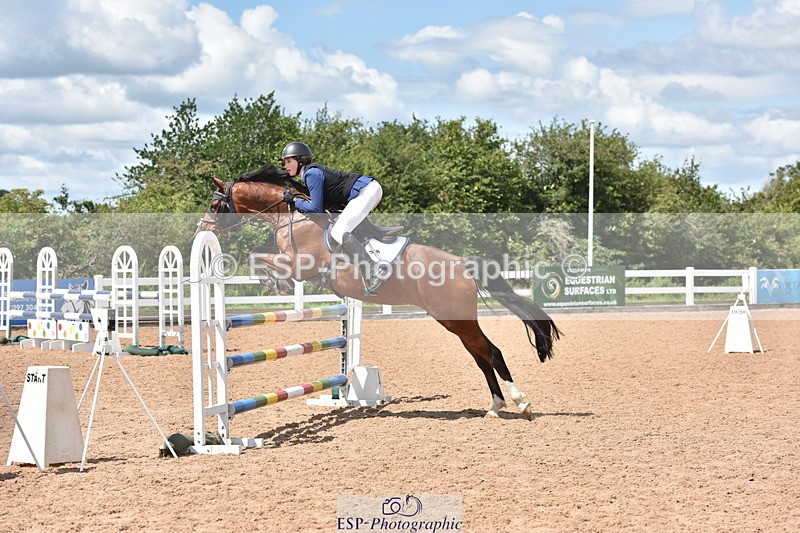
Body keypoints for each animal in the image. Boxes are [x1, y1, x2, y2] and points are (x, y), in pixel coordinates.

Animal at [196, 164, 562, 419]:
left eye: (215, 204)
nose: (201, 229)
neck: (293, 216)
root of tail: (464, 264)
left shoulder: (302, 264)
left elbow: (256, 255)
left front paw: (277, 283)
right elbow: (259, 254)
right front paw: (276, 283)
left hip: (455, 318)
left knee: (492, 353)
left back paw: (522, 404)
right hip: (454, 321)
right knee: (481, 357)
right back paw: (495, 406)